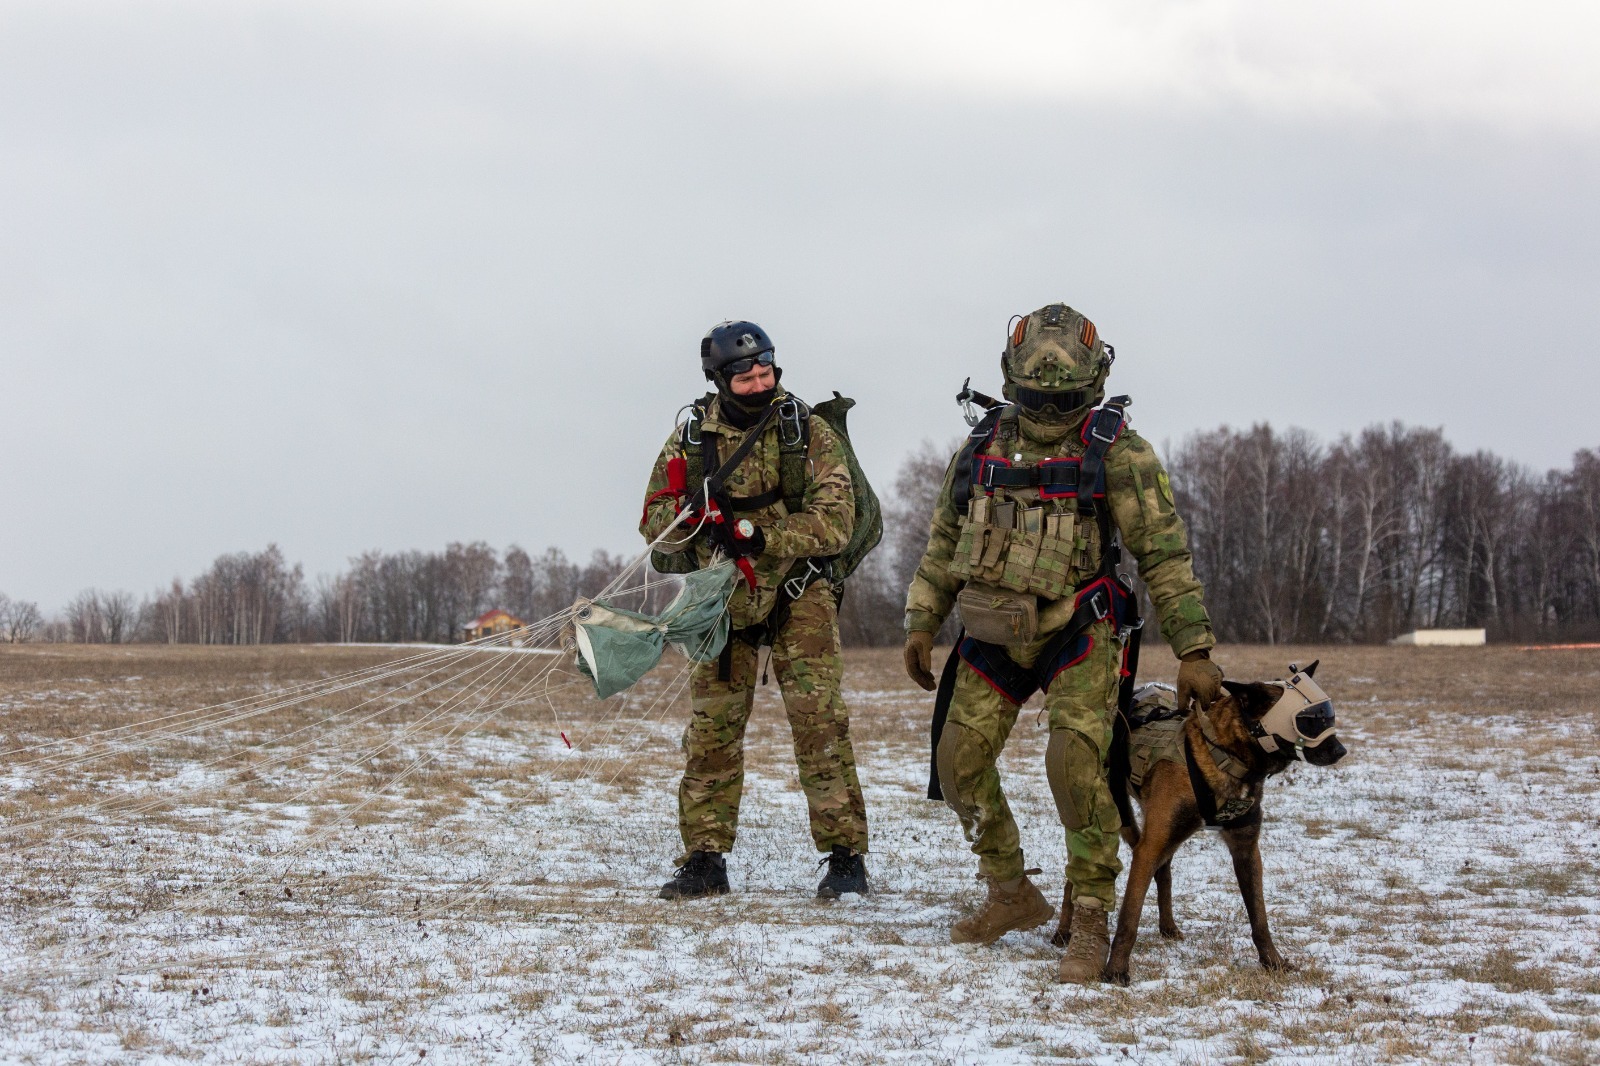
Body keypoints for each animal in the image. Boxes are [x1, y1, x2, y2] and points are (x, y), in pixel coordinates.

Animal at [1094, 659, 1344, 985]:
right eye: (1310, 721)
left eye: (1327, 715)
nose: (1341, 750)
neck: (1224, 755)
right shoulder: (1149, 846)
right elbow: (1129, 917)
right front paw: (1116, 970)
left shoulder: (1246, 850)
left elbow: (1259, 918)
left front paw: (1272, 961)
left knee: (1164, 872)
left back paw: (1168, 926)